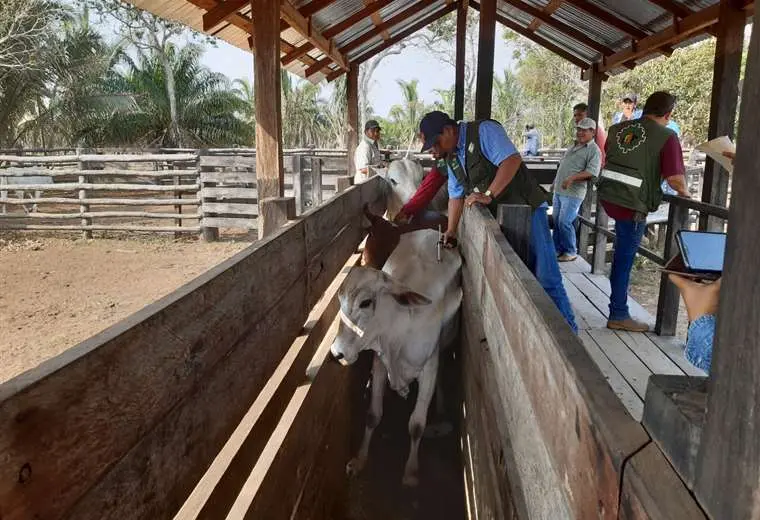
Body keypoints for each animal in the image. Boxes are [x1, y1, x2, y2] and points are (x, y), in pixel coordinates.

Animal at [328, 229, 460, 488]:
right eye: (340, 301)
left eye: (366, 302)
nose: (337, 352)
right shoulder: (380, 364)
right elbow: (372, 416)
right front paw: (359, 461)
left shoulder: (429, 368)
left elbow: (417, 425)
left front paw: (410, 472)